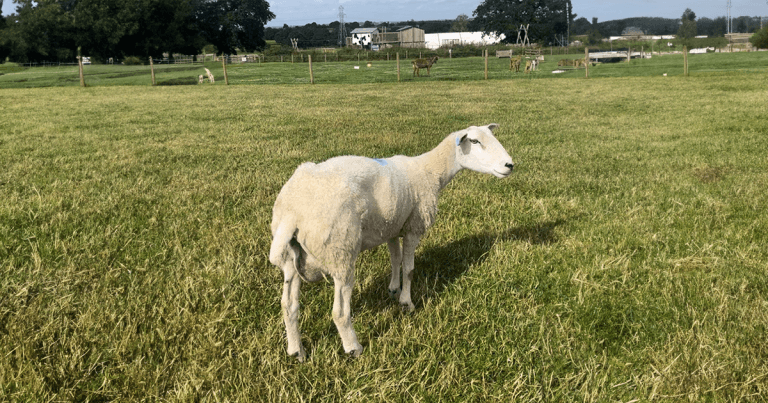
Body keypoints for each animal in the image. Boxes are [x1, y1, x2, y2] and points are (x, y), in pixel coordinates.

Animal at [269, 124, 515, 361]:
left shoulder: (392, 227)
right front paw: (406, 302)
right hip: (340, 249)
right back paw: (353, 348)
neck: (430, 171)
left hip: (292, 258)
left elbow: (395, 260)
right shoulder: (414, 226)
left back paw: (296, 351)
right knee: (339, 312)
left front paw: (394, 289)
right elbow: (409, 269)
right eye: (474, 141)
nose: (510, 165)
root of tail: (292, 211)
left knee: (288, 306)